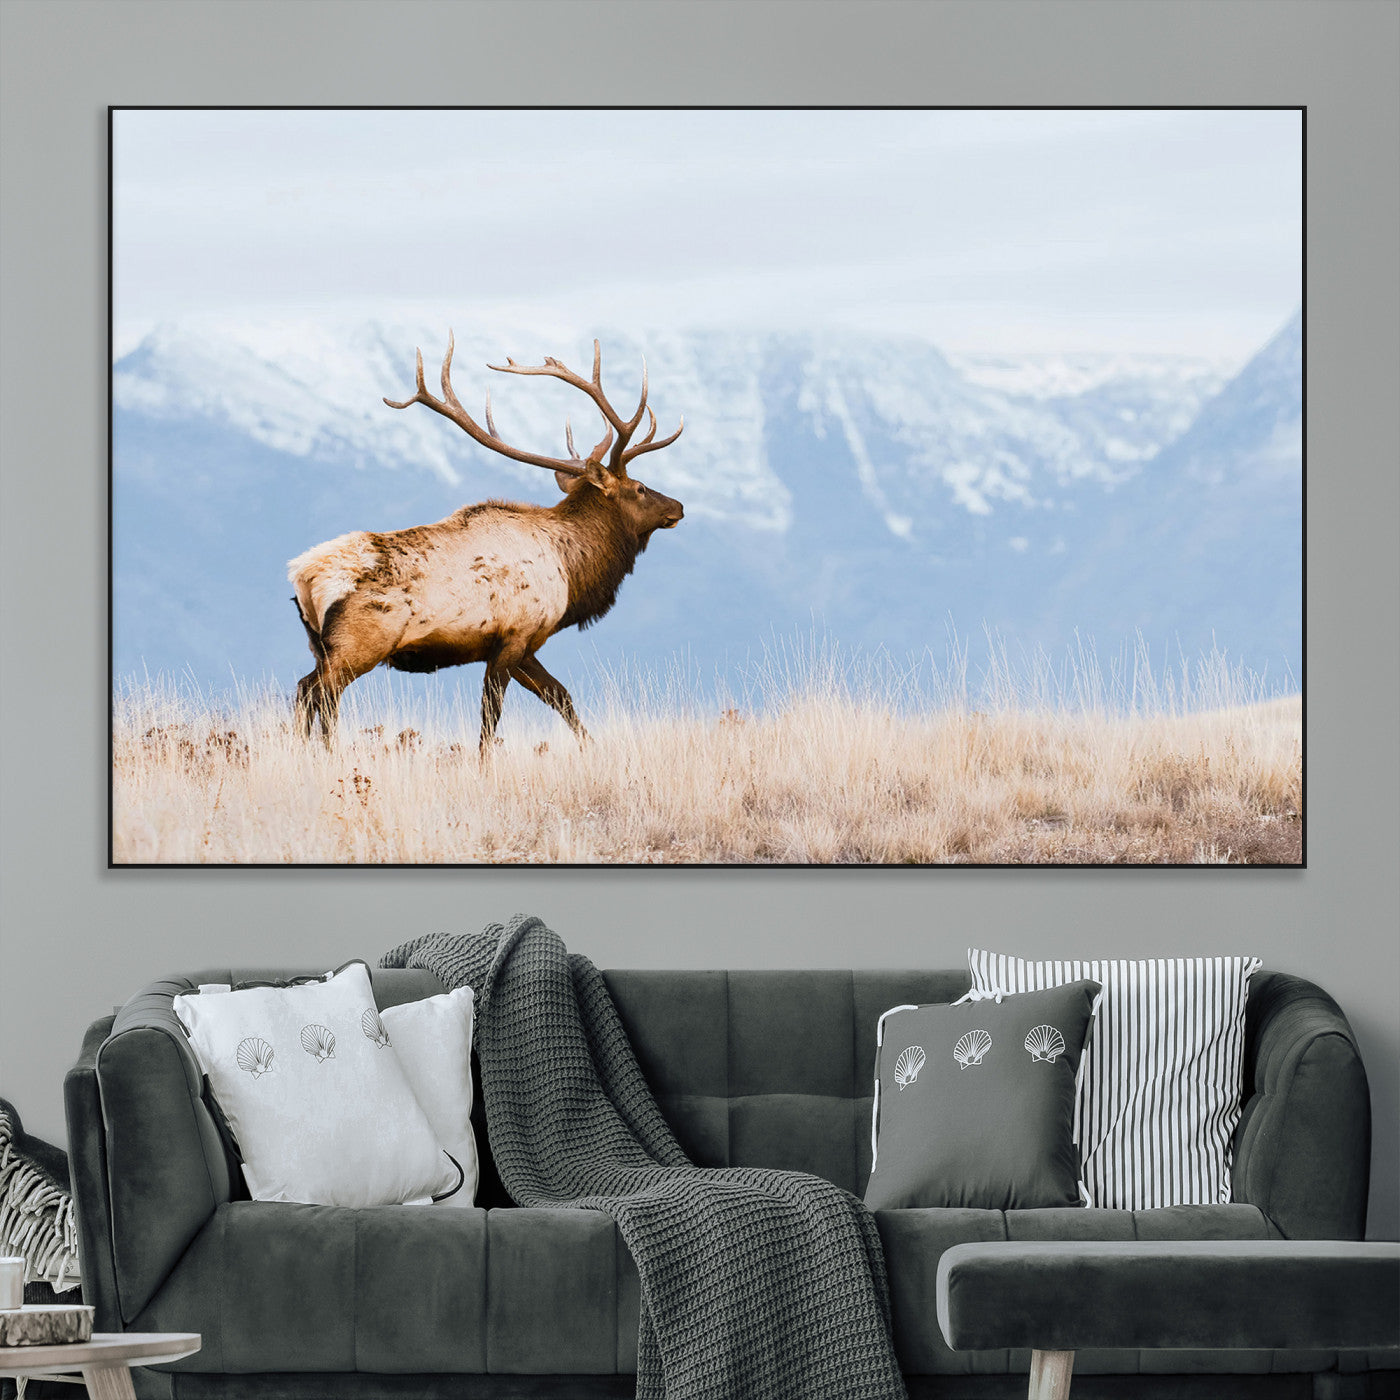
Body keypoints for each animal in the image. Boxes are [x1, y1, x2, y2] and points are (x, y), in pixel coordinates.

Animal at [287, 335, 684, 753]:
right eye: (640, 488)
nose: (678, 506)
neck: (571, 572)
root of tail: (303, 575)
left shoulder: (526, 646)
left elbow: (561, 696)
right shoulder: (514, 635)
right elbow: (491, 716)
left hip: (320, 646)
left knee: (308, 690)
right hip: (359, 643)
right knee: (319, 693)